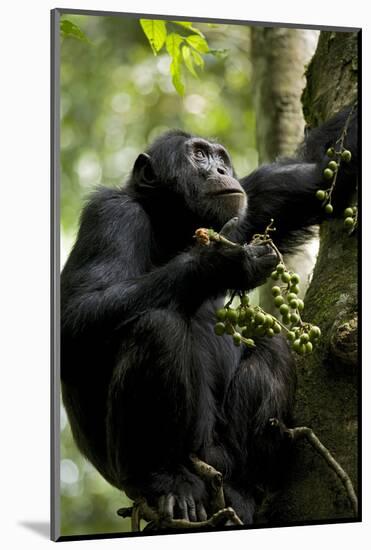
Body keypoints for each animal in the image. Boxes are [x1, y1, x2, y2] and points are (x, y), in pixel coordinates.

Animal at [60, 104, 358, 528]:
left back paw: (243, 487)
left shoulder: (247, 212)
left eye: (221, 158)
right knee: (158, 328)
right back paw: (168, 481)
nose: (219, 170)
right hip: (160, 467)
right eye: (198, 155)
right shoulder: (112, 216)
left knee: (271, 344)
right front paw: (223, 263)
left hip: (220, 456)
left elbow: (320, 169)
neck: (172, 227)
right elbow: (77, 315)